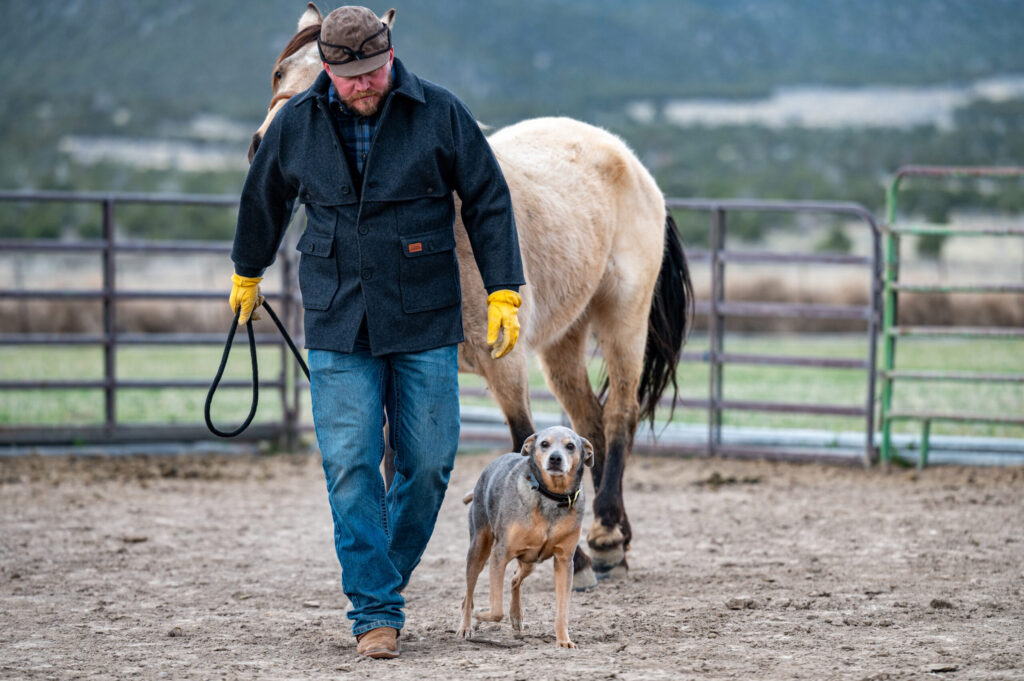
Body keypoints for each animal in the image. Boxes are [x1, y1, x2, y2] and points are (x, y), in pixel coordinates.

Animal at [456, 426, 593, 647]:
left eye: (570, 446)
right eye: (544, 444)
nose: (555, 458)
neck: (550, 496)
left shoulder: (564, 560)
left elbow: (562, 610)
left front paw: (564, 640)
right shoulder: (499, 554)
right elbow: (496, 610)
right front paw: (480, 614)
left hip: (531, 559)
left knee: (515, 579)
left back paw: (516, 616)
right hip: (478, 549)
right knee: (468, 596)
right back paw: (466, 626)